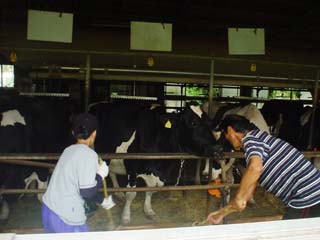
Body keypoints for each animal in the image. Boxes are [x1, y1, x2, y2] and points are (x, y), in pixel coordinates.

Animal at [89, 101, 221, 225]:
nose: (218, 148)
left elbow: (150, 190)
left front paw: (148, 211)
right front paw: (125, 217)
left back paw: (117, 192)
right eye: (193, 123)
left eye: (209, 123)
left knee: (110, 172)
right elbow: (131, 194)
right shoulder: (131, 167)